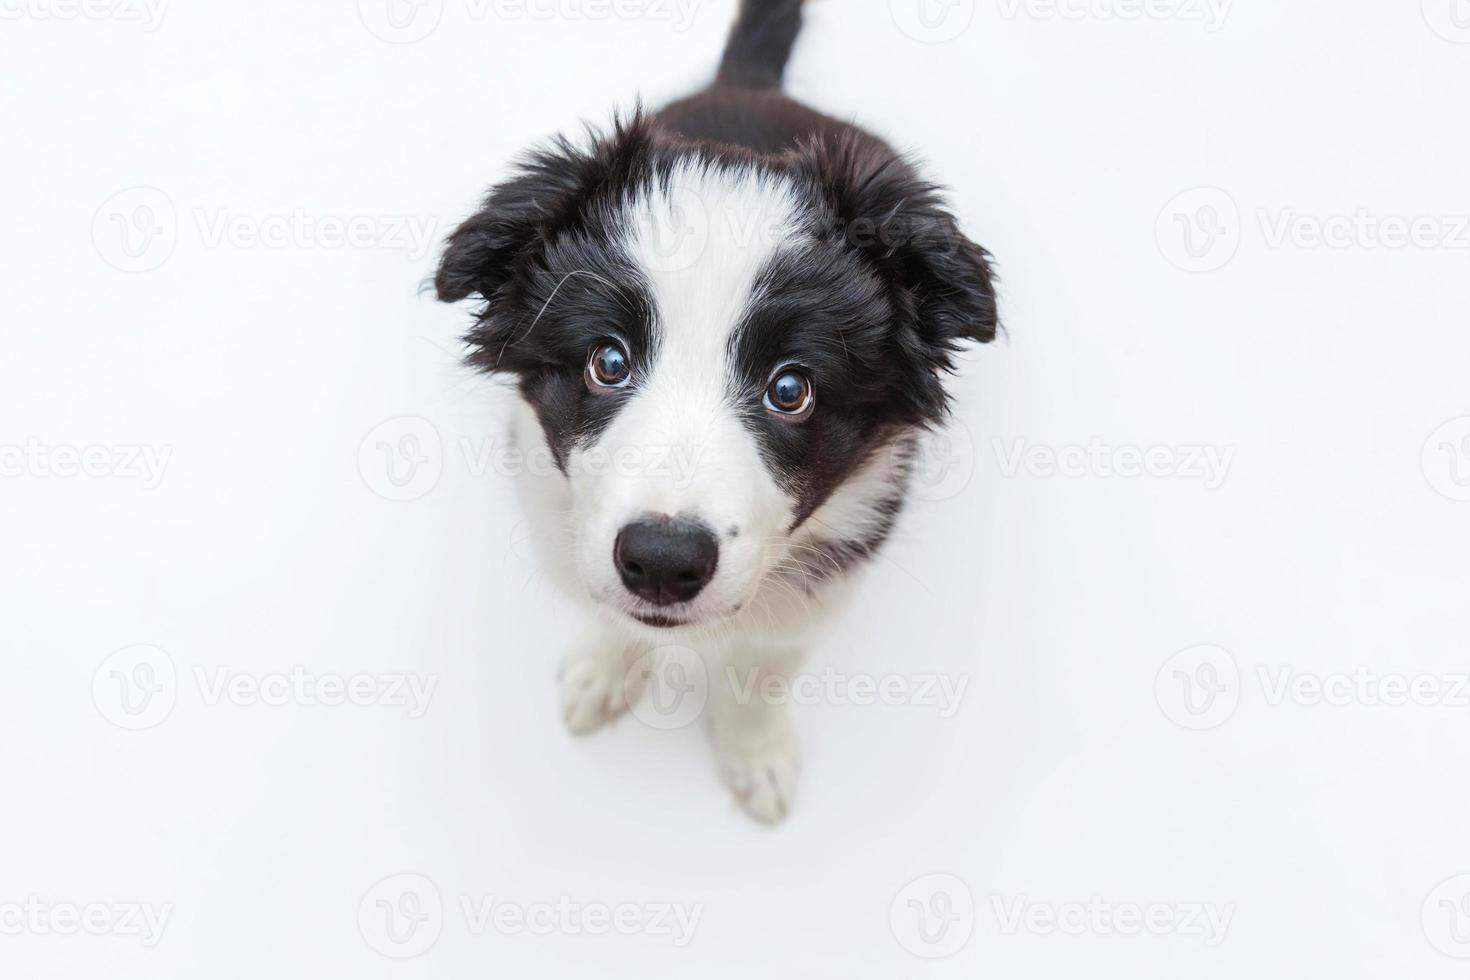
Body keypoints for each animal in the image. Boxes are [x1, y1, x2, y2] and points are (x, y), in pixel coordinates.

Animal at [435, 0, 999, 822]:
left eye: (790, 389)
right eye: (608, 362)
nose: (663, 562)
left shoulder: (825, 582)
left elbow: (762, 671)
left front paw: (754, 752)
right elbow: (609, 613)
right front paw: (607, 669)